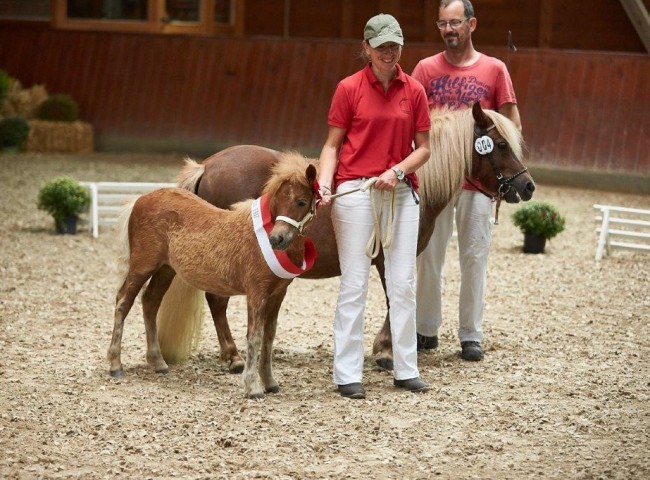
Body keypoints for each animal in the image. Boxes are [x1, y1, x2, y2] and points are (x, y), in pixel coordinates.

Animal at [106, 151, 318, 399]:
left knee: (150, 301)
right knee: (124, 301)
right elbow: (254, 336)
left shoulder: (277, 294)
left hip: (166, 269)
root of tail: (140, 200)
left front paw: (270, 383)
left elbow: (269, 336)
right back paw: (115, 365)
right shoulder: (256, 292)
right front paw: (253, 387)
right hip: (142, 265)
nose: (277, 239)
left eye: (301, 201)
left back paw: (158, 363)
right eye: (276, 200)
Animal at [159, 101, 535, 372]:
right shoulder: (388, 257)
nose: (527, 186)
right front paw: (386, 352)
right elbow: (392, 301)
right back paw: (234, 356)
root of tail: (207, 166)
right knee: (217, 301)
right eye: (500, 144)